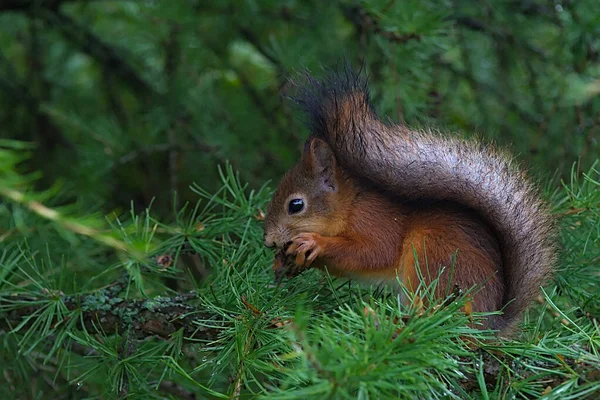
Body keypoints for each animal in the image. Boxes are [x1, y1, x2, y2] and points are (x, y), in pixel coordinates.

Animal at [262, 65, 556, 334]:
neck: (350, 206)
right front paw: (283, 263)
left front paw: (315, 242)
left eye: (296, 205)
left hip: (432, 255)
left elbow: (374, 252)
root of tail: (491, 323)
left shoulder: (376, 222)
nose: (268, 240)